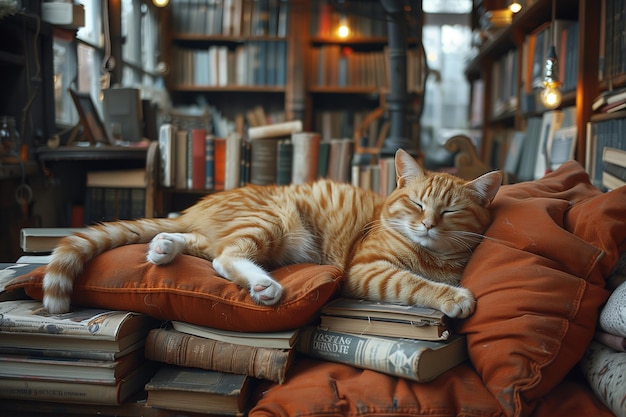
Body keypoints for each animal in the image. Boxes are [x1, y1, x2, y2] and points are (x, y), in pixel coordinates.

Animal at [41, 150, 500, 318]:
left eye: (451, 210)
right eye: (418, 204)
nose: (428, 224)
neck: (432, 256)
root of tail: (197, 206)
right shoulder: (367, 270)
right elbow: (414, 283)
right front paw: (453, 297)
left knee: (208, 249)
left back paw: (163, 248)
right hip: (274, 220)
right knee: (226, 258)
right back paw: (265, 286)